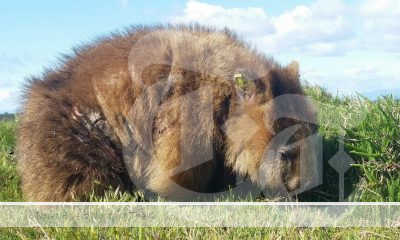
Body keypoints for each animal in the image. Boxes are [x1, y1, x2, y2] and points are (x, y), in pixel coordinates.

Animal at [16, 24, 318, 202]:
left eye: (314, 133)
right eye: (285, 153)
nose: (303, 186)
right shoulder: (191, 109)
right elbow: (180, 162)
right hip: (74, 136)